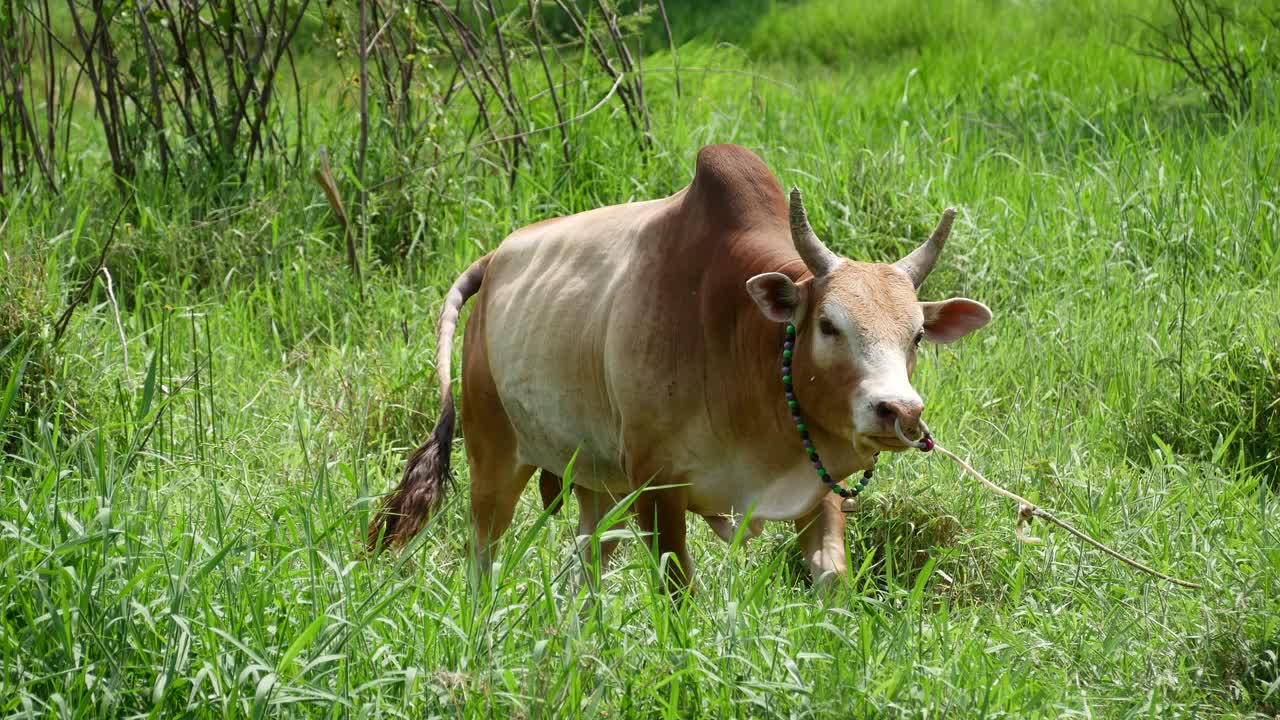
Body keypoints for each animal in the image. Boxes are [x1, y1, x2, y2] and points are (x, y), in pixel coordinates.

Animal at [366, 141, 993, 589]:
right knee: (483, 561)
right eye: (828, 324)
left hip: (596, 484)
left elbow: (833, 580)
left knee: (586, 567)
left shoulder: (819, 488)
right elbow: (679, 592)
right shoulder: (657, 489)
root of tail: (494, 259)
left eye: (916, 335)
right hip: (494, 460)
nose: (899, 412)